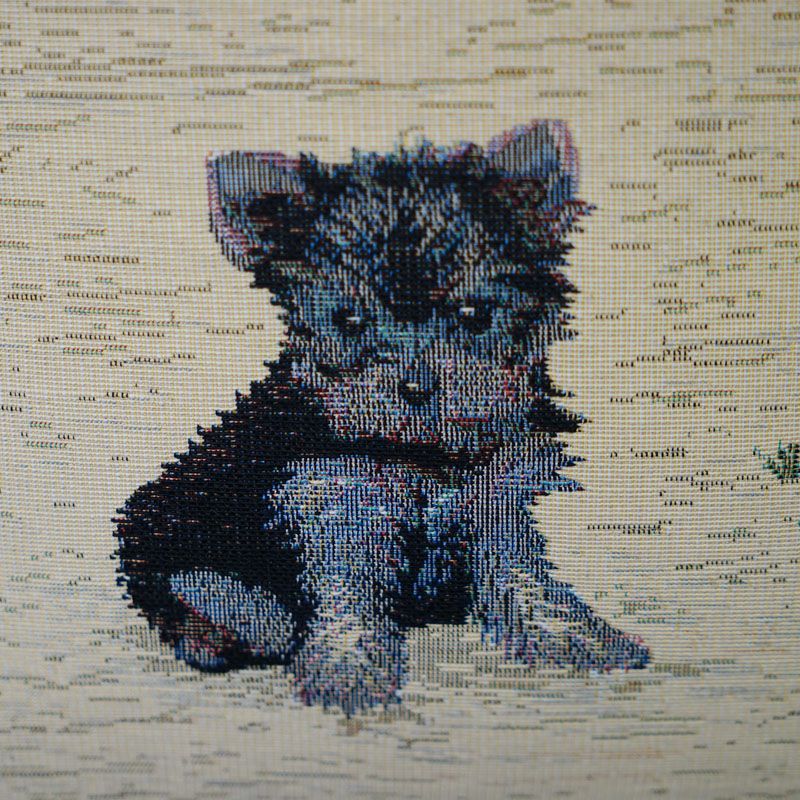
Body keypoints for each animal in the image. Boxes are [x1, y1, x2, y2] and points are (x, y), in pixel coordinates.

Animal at [115, 121, 649, 715]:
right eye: (348, 320)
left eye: (475, 314)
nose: (415, 387)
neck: (422, 450)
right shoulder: (333, 502)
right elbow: (346, 596)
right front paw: (348, 674)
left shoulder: (495, 500)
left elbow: (523, 579)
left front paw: (575, 637)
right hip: (166, 524)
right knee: (197, 588)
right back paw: (235, 626)